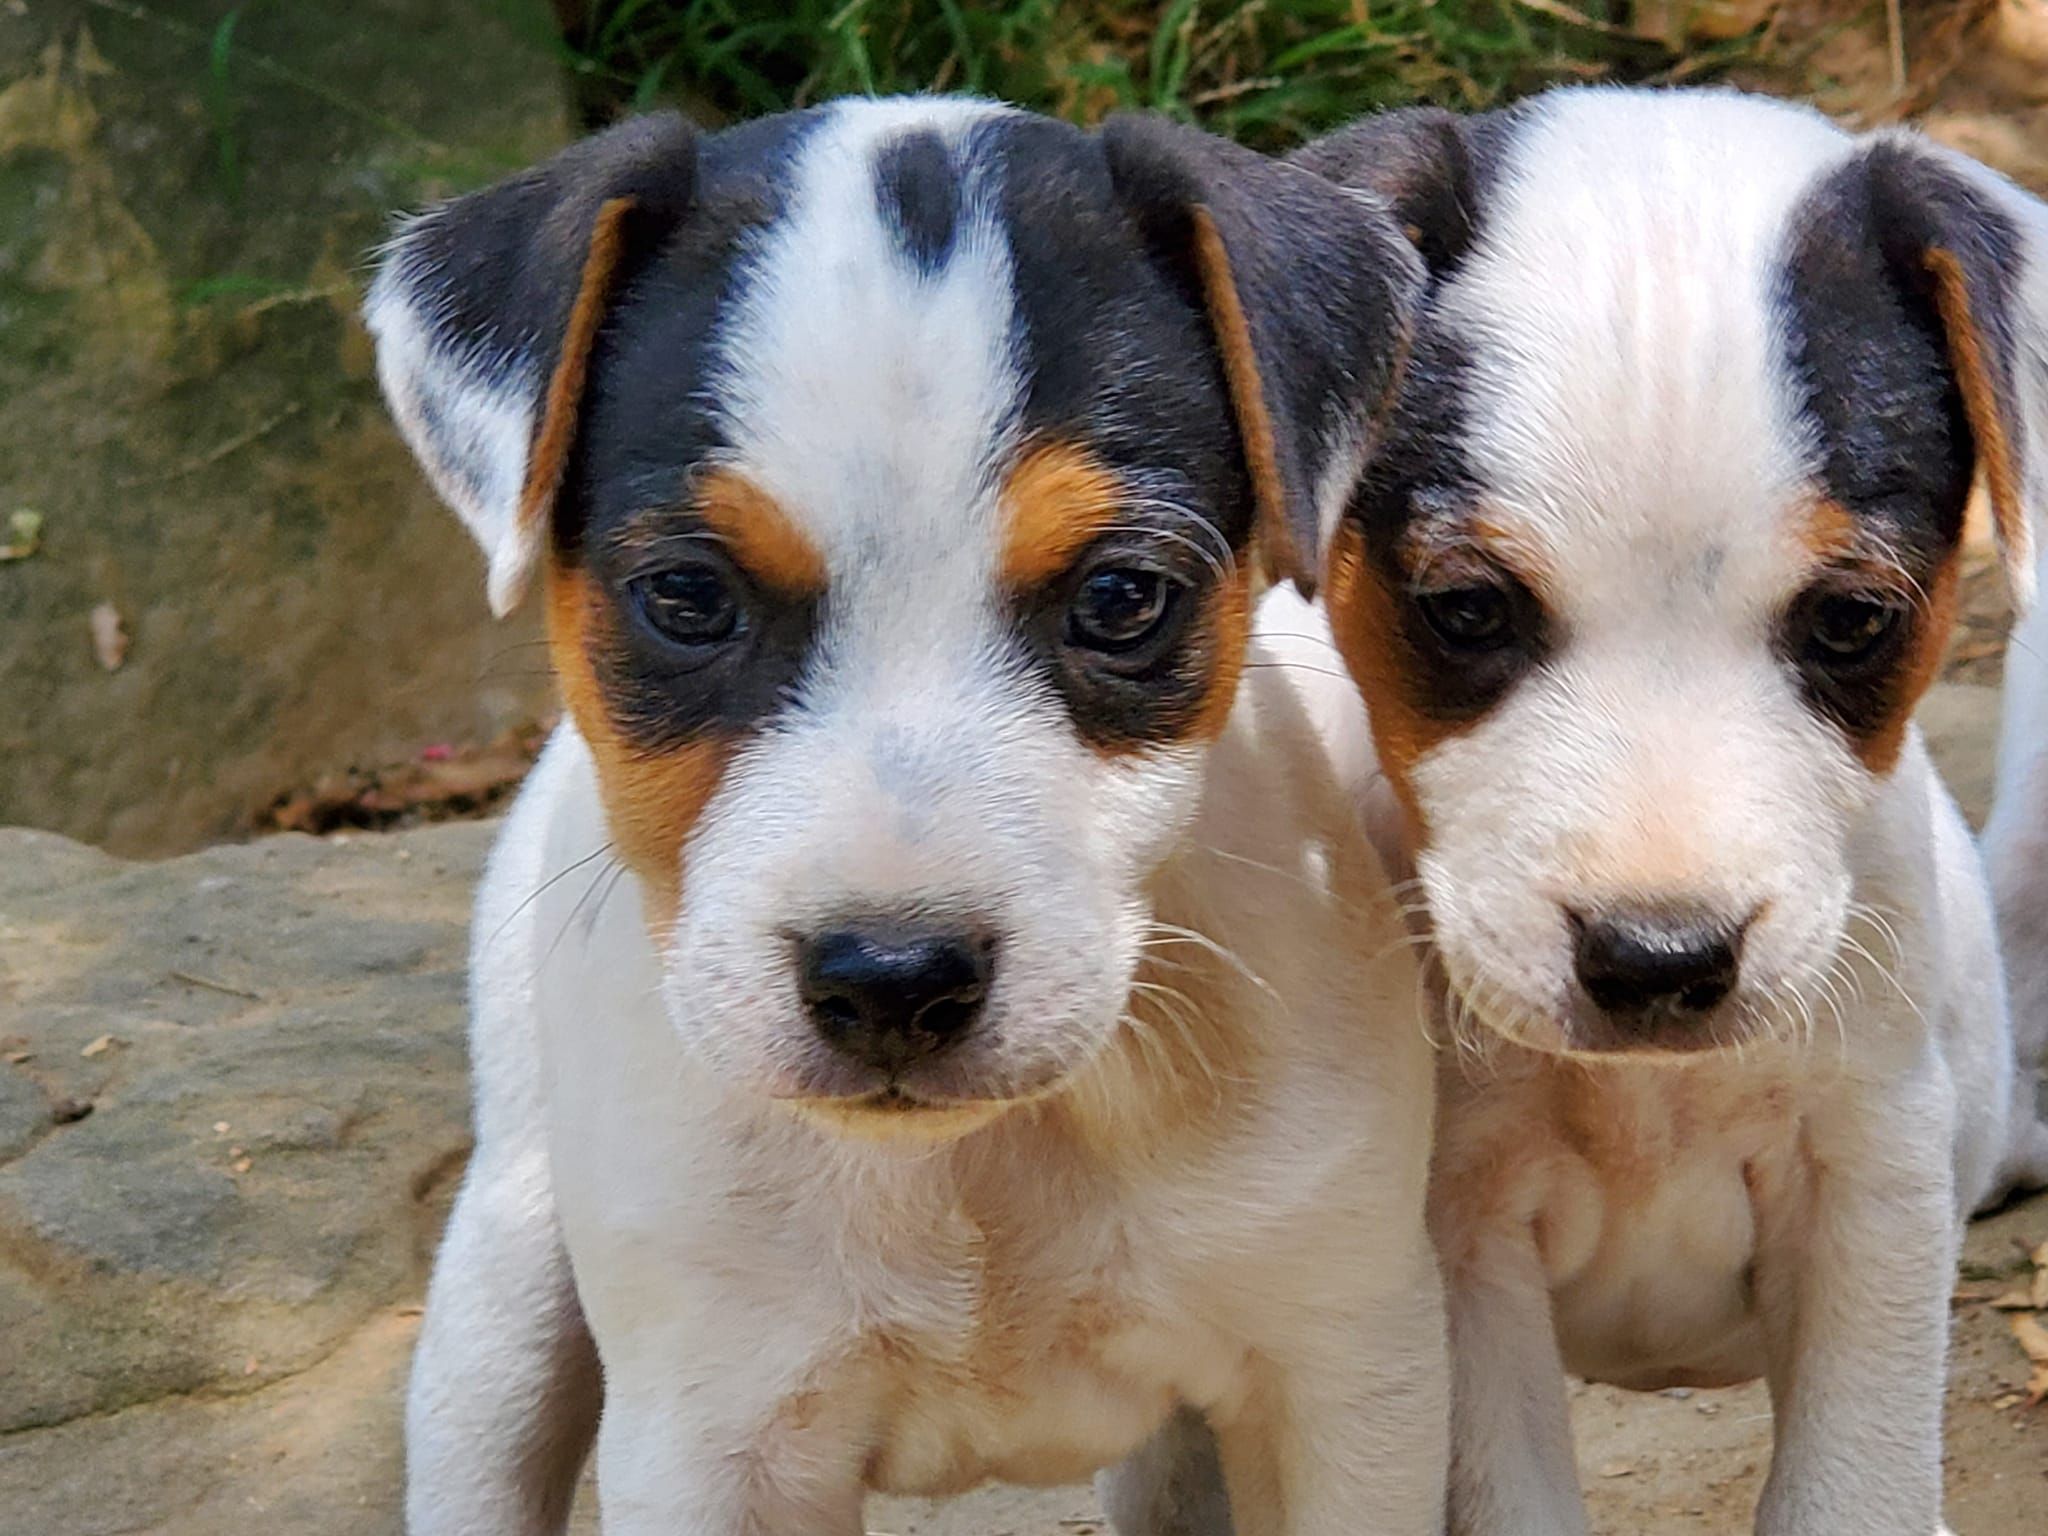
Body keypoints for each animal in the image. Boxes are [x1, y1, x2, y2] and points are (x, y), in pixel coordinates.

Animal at [367, 98, 1448, 1535]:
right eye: (687, 598)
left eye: (1120, 599)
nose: (891, 981)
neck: (979, 1170)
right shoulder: (711, 1442)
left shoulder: (1346, 1382)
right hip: (502, 1300)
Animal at [1284, 86, 2048, 1535]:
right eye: (1465, 608)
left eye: (1850, 619)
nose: (1657, 960)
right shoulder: (1454, 1245)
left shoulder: (1868, 1182)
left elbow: (1850, 1493)